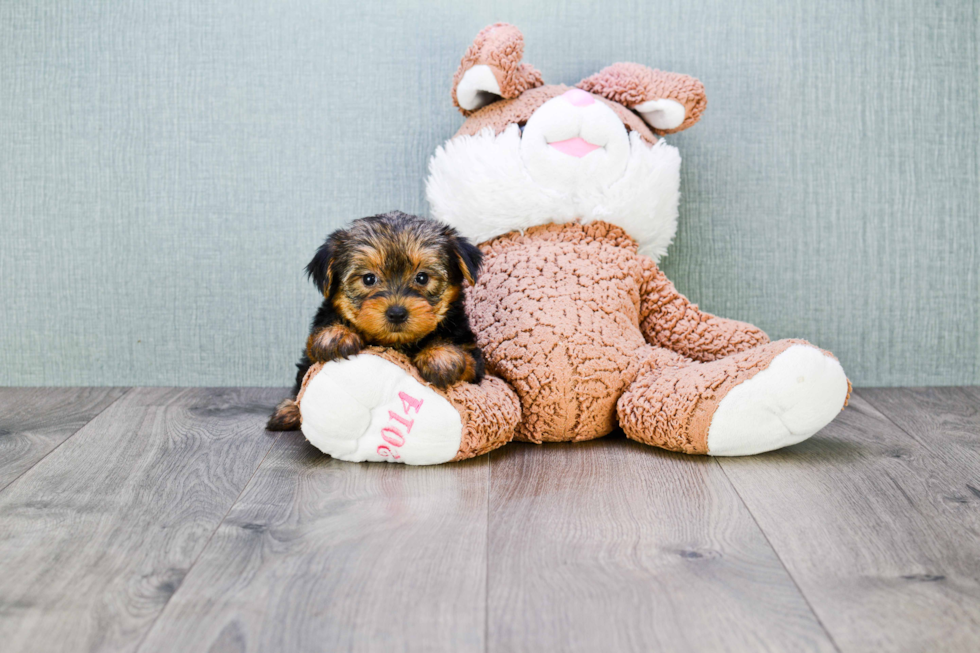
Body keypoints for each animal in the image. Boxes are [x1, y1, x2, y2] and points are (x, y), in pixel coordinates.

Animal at [266, 211, 484, 430]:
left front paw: (441, 355)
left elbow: (466, 359)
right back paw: (290, 410)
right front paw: (336, 334)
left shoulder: (473, 360)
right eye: (368, 279)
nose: (396, 313)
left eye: (422, 278)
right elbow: (308, 365)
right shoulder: (313, 345)